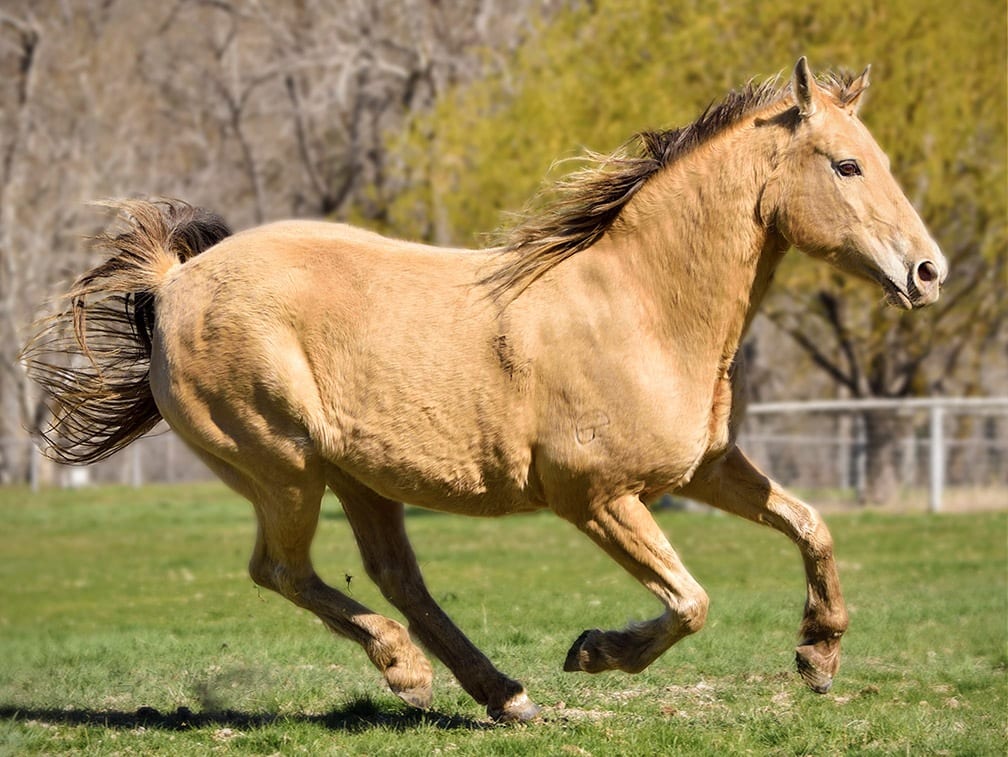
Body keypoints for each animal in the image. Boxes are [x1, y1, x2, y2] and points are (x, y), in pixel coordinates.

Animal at [27, 59, 947, 721]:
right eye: (848, 165)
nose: (928, 272)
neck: (640, 305)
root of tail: (174, 283)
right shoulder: (597, 496)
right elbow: (691, 601)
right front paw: (593, 652)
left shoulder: (703, 470)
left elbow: (812, 526)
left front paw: (818, 655)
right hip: (284, 467)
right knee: (282, 569)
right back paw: (410, 671)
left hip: (358, 477)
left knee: (394, 575)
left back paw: (501, 694)